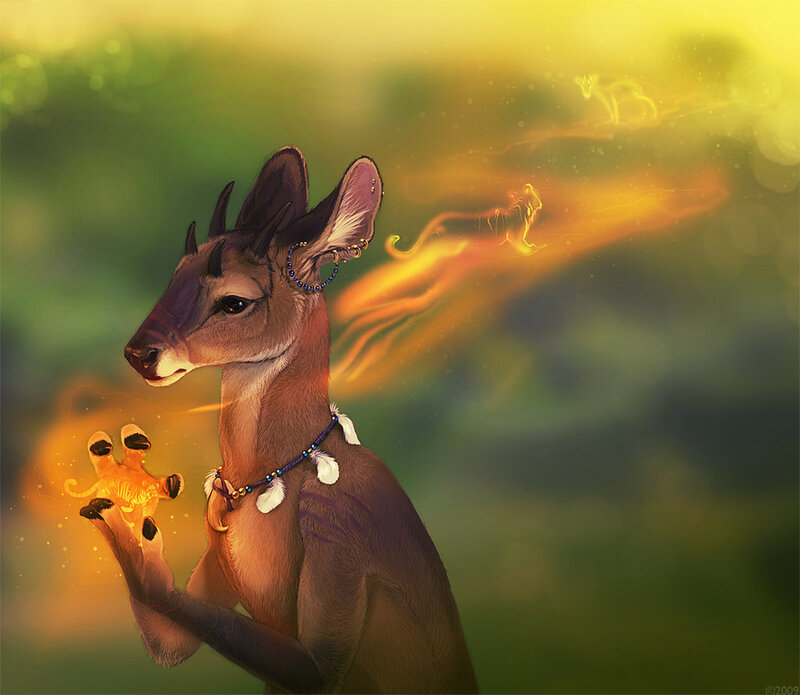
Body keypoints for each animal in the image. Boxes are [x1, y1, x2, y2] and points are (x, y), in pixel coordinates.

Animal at [78, 147, 478, 694]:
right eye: (175, 276)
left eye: (235, 301)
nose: (140, 354)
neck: (261, 480)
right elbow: (171, 644)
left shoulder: (337, 534)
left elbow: (314, 666)